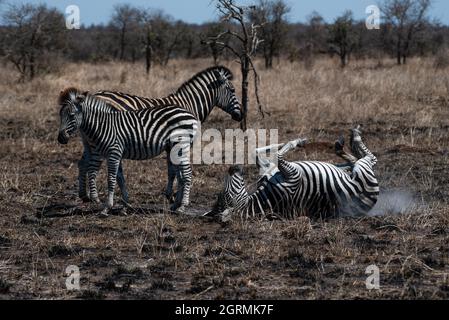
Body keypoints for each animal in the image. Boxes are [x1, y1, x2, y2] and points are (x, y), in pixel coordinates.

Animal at [57, 87, 198, 215]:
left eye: (71, 115)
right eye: (60, 115)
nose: (60, 138)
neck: (103, 125)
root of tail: (190, 114)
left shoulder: (114, 152)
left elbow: (111, 179)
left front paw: (106, 207)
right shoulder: (115, 154)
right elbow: (120, 179)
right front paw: (125, 204)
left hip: (181, 145)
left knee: (186, 174)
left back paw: (183, 206)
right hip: (173, 148)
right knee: (180, 175)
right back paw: (175, 205)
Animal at [76, 65, 242, 205]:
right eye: (233, 90)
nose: (240, 115)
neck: (188, 105)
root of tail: (96, 94)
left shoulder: (171, 144)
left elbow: (172, 170)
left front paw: (172, 195)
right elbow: (174, 170)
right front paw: (173, 196)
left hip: (89, 141)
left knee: (82, 162)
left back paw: (85, 195)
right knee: (93, 166)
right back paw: (97, 197)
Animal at [206, 127, 378, 220]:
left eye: (222, 194)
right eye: (227, 196)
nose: (233, 167)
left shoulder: (268, 170)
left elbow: (256, 151)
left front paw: (290, 141)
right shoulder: (293, 175)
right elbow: (279, 155)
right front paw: (296, 142)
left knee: (354, 160)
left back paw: (343, 150)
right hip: (364, 171)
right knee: (370, 158)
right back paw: (354, 135)